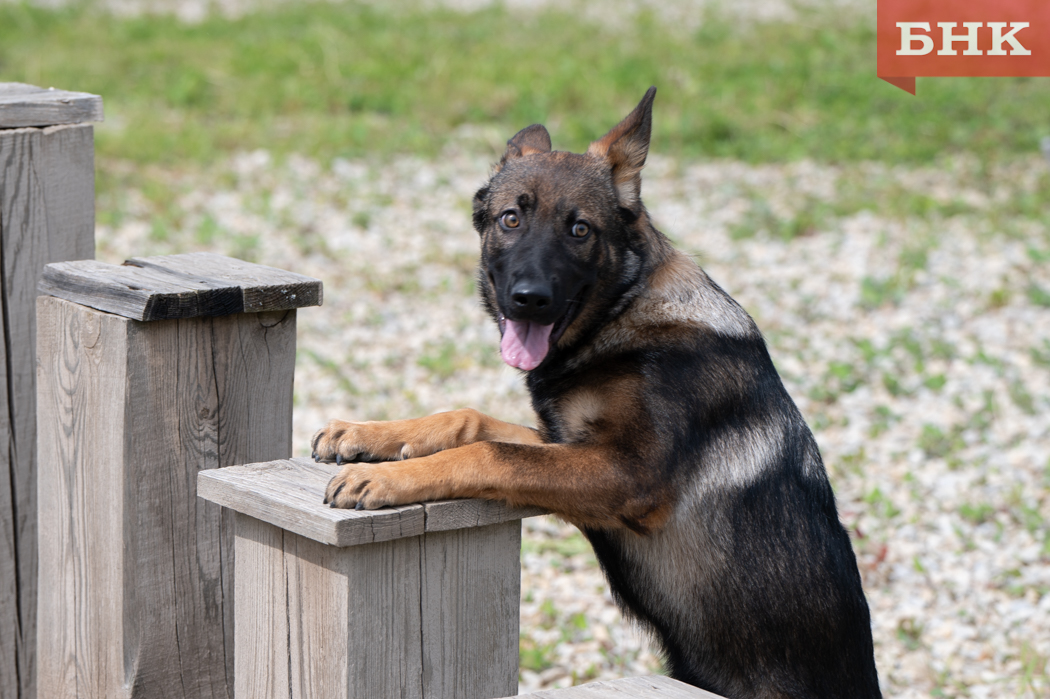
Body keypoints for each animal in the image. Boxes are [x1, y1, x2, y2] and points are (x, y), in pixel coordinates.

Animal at [315, 88, 881, 696]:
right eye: (511, 218)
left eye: (580, 230)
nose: (529, 299)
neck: (624, 313)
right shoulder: (568, 442)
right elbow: (468, 420)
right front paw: (367, 434)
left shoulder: (624, 473)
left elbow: (489, 452)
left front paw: (385, 477)